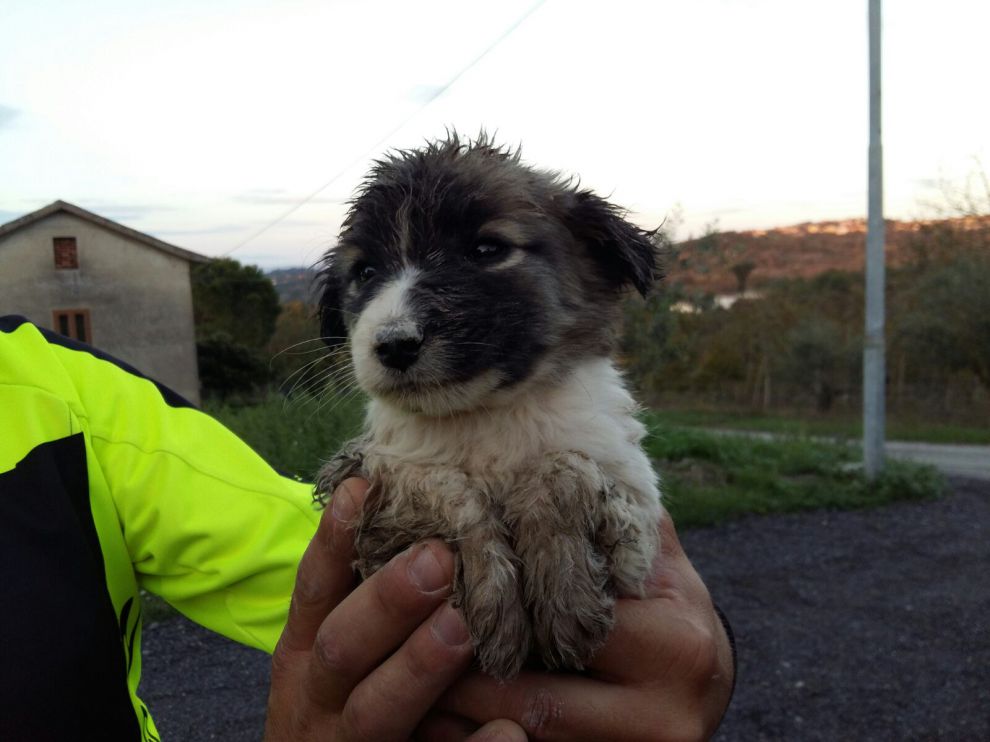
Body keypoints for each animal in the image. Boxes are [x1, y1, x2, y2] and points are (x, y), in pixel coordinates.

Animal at [314, 134, 664, 680]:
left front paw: (564, 590)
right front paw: (494, 603)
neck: (485, 416)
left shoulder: (637, 526)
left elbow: (562, 470)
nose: (393, 344)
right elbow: (442, 486)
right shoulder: (362, 472)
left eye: (487, 249)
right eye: (365, 272)